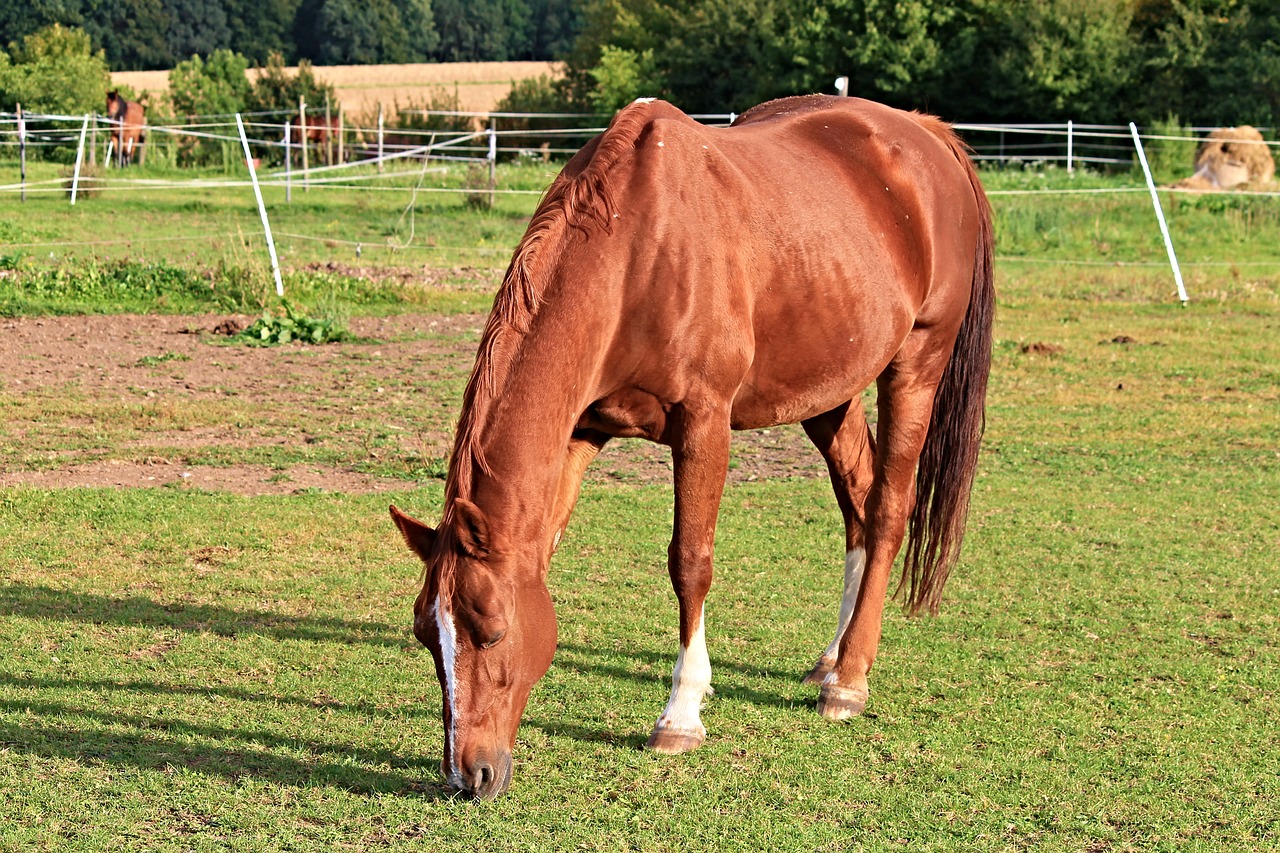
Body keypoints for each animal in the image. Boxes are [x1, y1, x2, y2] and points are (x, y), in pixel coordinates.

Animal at [386, 94, 988, 799]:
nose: (468, 774)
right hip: (826, 392)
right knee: (860, 501)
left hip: (915, 365)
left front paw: (681, 714)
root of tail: (922, 130)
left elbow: (689, 563)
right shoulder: (583, 429)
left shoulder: (704, 423)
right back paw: (830, 660)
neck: (638, 252)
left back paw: (850, 681)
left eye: (492, 629)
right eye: (427, 635)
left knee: (890, 507)